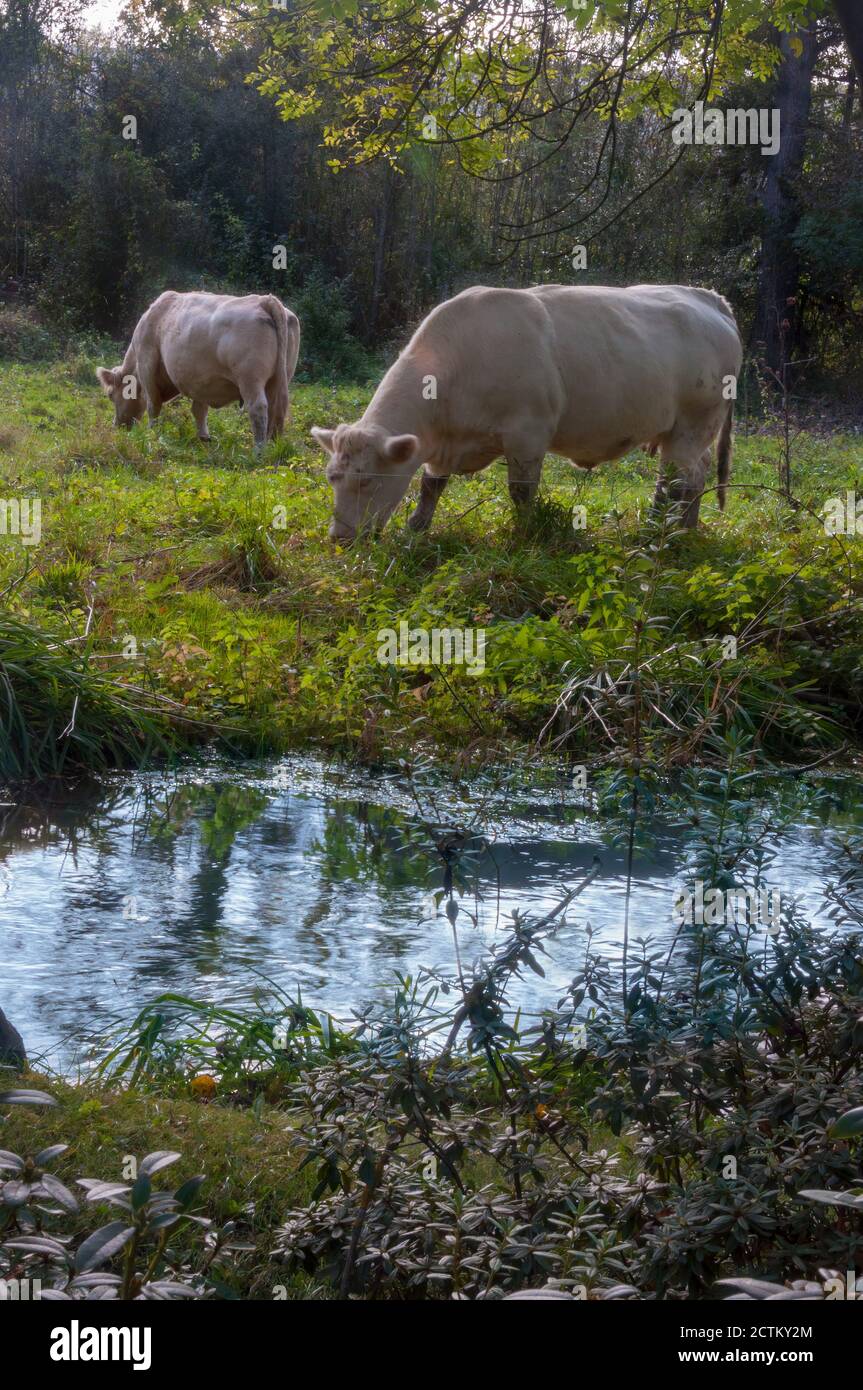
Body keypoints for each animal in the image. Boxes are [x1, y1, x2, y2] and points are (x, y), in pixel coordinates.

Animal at [97, 291, 300, 447]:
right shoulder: (201, 381)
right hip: (280, 379)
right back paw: (273, 444)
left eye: (110, 395)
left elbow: (153, 405)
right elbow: (199, 410)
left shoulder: (147, 366)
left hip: (250, 379)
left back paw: (258, 450)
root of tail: (265, 300)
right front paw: (204, 437)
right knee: (277, 408)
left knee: (258, 408)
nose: (118, 427)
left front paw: (151, 433)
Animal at [311, 283, 742, 540]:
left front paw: (524, 533)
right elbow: (432, 484)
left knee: (685, 480)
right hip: (680, 432)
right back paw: (672, 527)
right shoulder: (442, 443)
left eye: (367, 481)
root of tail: (707, 298)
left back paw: (670, 532)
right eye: (332, 478)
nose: (339, 538)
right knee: (684, 478)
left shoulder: (527, 435)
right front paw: (417, 527)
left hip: (693, 425)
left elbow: (521, 492)